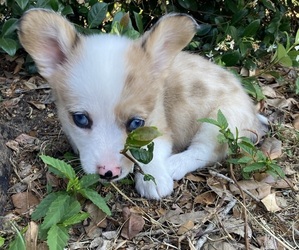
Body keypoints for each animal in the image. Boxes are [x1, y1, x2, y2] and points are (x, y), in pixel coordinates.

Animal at [17, 8, 264, 199]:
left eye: (136, 123)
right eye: (80, 119)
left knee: (205, 150)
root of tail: (254, 114)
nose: (109, 172)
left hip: (220, 121)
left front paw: (153, 179)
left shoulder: (160, 127)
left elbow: (150, 151)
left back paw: (174, 165)